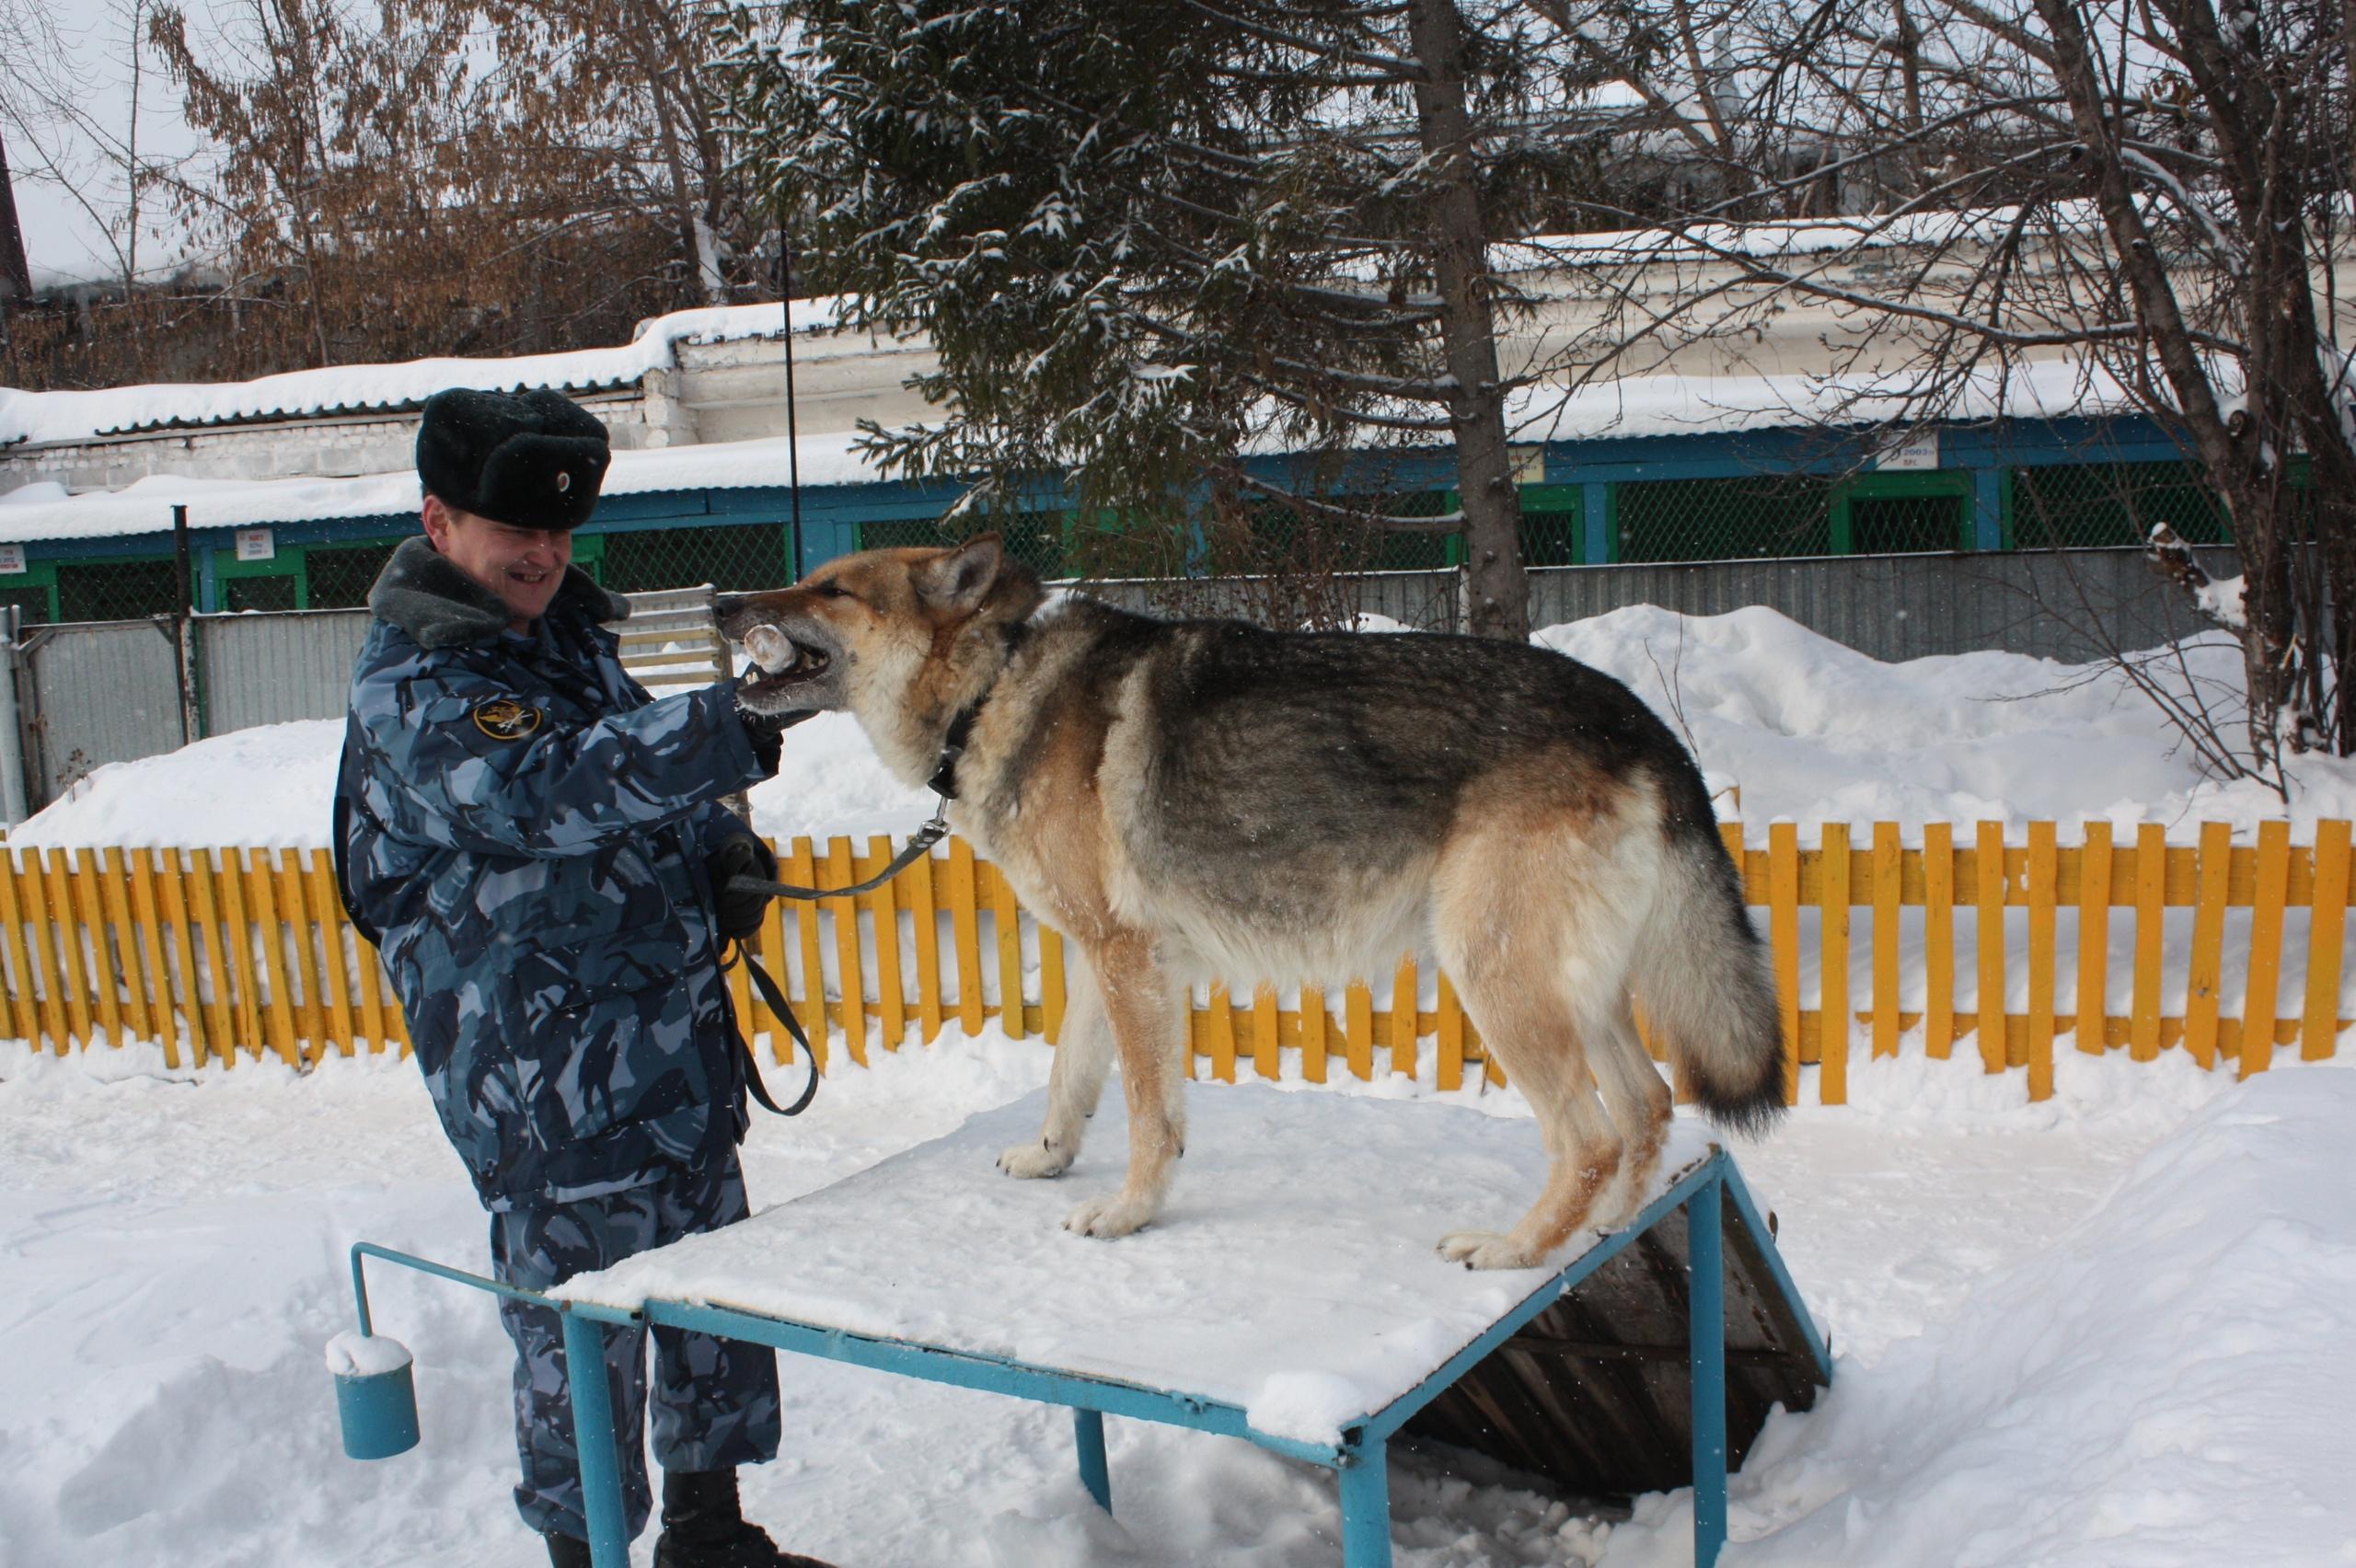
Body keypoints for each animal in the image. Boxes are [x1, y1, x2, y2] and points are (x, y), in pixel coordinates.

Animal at [707, 532, 1772, 1262]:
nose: (720, 602)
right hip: (1574, 994)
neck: (993, 688)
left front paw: (1127, 1214)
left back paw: (1514, 1251)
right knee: (1647, 1110)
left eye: (831, 589)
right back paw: (1599, 1238)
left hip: (1495, 981)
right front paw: (1049, 1157)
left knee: (1590, 1135)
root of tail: (1639, 723)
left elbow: (1149, 1115)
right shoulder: (1100, 957)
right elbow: (1069, 1079)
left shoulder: (1129, 960)